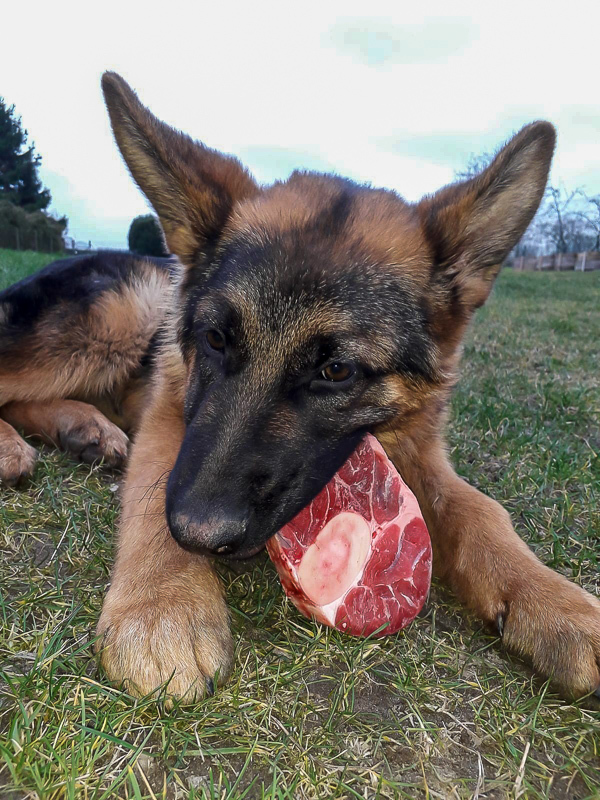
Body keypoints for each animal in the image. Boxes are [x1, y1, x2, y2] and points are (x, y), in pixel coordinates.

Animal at [1, 73, 600, 700]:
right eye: (214, 338)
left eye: (336, 371)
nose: (199, 532)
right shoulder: (170, 411)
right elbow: (154, 486)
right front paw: (163, 603)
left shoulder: (422, 453)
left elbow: (481, 510)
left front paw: (555, 601)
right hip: (126, 314)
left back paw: (84, 428)